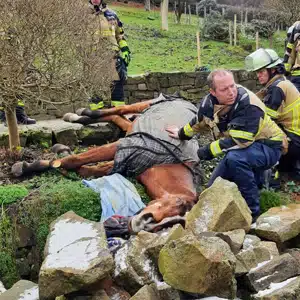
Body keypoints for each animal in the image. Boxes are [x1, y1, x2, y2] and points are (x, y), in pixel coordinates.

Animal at [12, 95, 203, 232]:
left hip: (131, 127)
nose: (142, 223)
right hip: (143, 105)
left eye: (172, 223)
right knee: (120, 109)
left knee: (120, 119)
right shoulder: (122, 146)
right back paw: (81, 113)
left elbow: (85, 169)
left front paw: (59, 156)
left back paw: (77, 118)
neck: (167, 162)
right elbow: (75, 160)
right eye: (178, 202)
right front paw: (26, 167)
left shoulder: (122, 160)